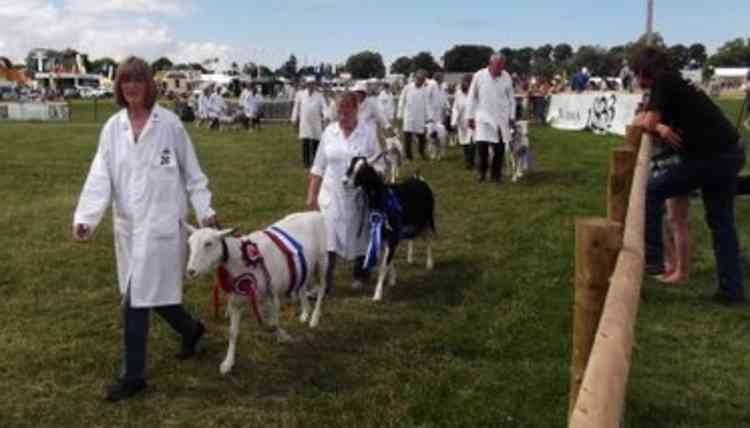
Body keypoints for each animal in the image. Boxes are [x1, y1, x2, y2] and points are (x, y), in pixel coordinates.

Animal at [184, 211, 328, 374]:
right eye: (189, 243)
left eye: (208, 243)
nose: (190, 271)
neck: (240, 259)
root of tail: (314, 213)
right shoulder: (236, 301)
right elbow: (233, 332)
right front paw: (228, 363)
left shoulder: (272, 295)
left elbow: (273, 322)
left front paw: (283, 336)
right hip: (302, 267)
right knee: (302, 285)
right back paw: (305, 312)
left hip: (322, 260)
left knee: (322, 287)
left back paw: (314, 318)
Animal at [344, 156, 438, 300]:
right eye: (350, 166)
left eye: (362, 171)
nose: (344, 181)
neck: (382, 199)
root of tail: (420, 179)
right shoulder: (383, 235)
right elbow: (387, 260)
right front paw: (392, 280)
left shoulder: (392, 236)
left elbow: (383, 266)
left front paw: (377, 295)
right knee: (413, 238)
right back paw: (410, 258)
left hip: (426, 220)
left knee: (428, 238)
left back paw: (429, 264)